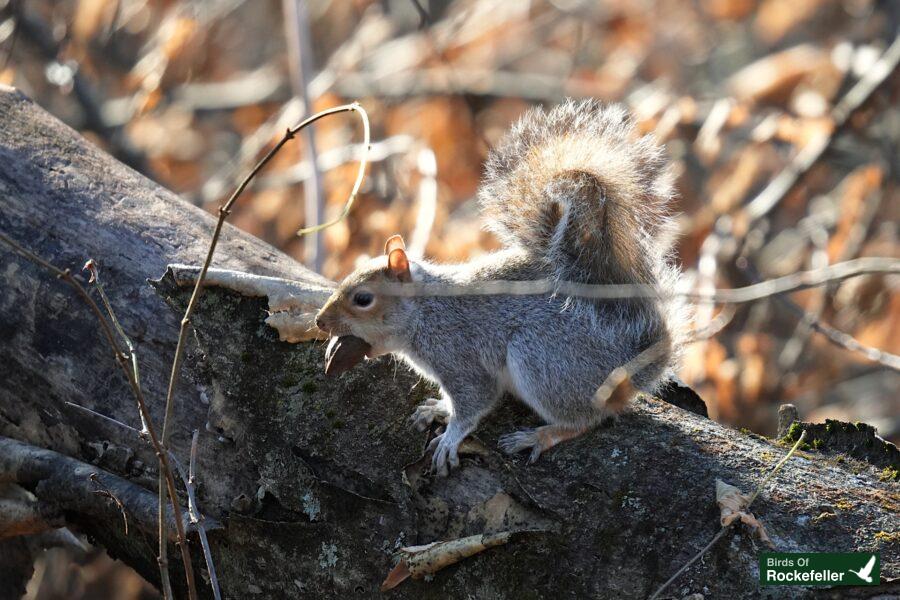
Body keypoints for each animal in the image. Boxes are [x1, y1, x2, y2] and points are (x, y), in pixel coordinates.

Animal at [316, 98, 684, 476]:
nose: (319, 322)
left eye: (363, 299)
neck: (425, 312)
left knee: (587, 418)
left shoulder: (458, 355)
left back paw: (540, 435)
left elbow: (475, 401)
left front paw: (450, 439)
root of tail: (630, 367)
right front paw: (438, 409)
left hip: (542, 359)